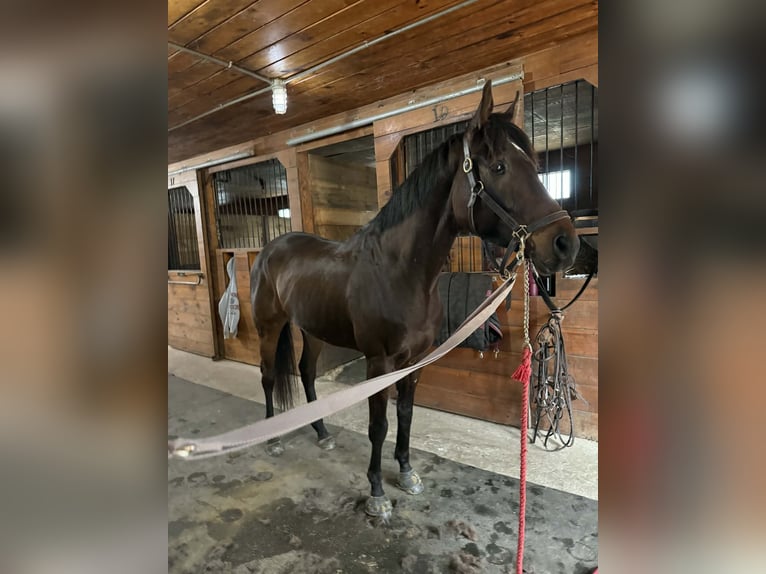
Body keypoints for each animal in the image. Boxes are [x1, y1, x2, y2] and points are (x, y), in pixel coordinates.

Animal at [250, 80, 579, 518]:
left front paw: (406, 472)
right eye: (499, 167)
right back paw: (272, 438)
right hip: (269, 327)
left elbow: (405, 415)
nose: (566, 243)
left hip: (313, 329)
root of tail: (271, 250)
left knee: (305, 373)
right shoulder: (379, 362)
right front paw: (376, 492)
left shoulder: (415, 361)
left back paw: (322, 433)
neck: (401, 273)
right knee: (269, 375)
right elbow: (379, 425)